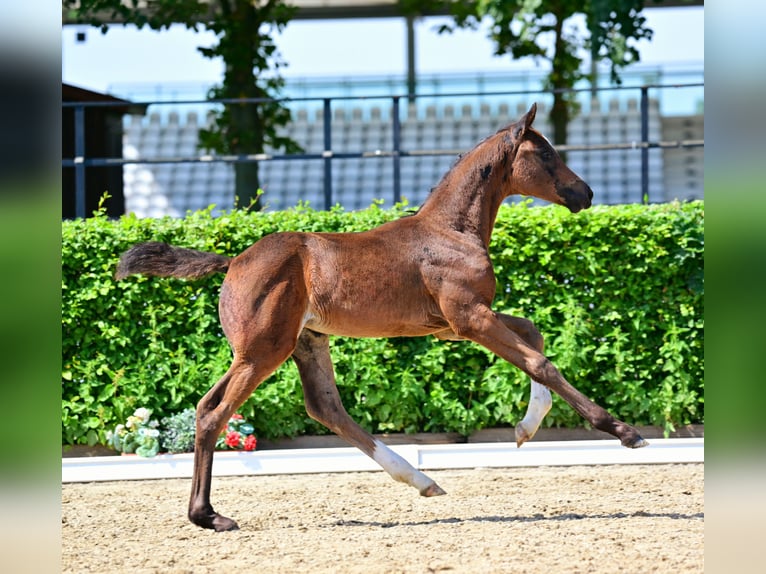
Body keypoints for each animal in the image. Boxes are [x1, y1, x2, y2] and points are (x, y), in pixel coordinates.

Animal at [117, 103, 652, 536]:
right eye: (545, 155)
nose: (585, 193)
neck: (451, 230)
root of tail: (233, 262)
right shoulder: (469, 320)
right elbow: (541, 362)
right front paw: (624, 432)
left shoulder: (459, 322)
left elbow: (535, 336)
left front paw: (526, 428)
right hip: (261, 350)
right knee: (214, 410)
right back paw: (209, 516)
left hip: (307, 341)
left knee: (324, 407)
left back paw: (421, 479)